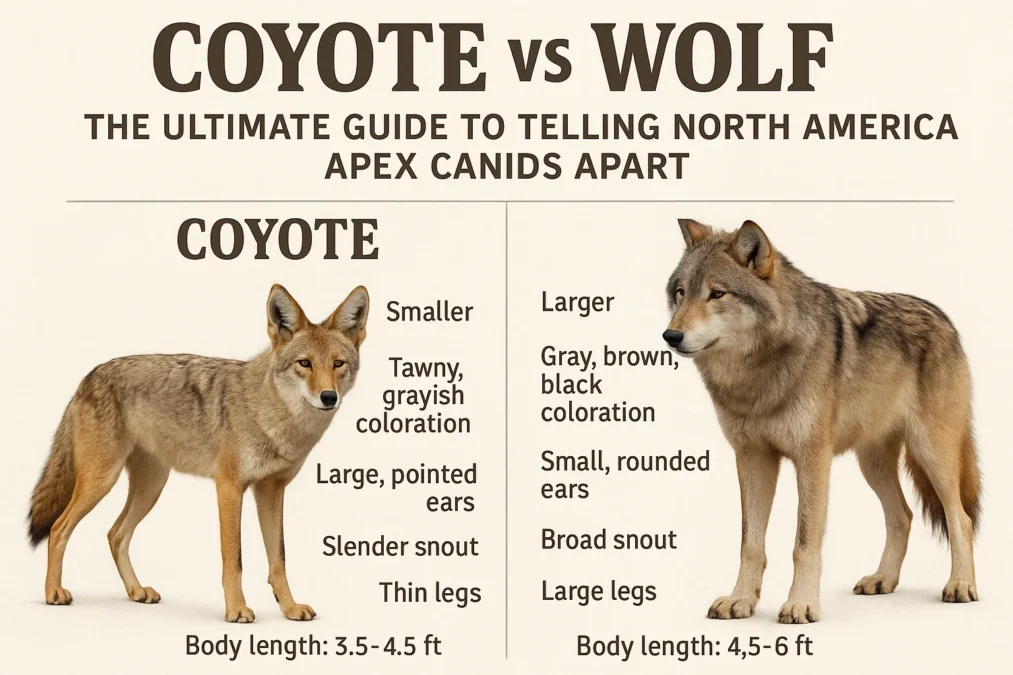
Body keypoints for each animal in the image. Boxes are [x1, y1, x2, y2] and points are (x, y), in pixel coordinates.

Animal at [27, 284, 369, 623]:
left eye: (338, 364)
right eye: (305, 363)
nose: (328, 397)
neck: (271, 415)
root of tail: (89, 376)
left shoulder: (271, 491)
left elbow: (279, 560)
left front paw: (289, 608)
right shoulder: (229, 488)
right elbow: (234, 559)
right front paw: (236, 609)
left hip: (151, 488)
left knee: (115, 534)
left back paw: (136, 591)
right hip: (101, 482)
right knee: (58, 528)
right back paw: (53, 593)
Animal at [664, 219, 980, 623]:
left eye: (717, 294)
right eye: (681, 293)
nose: (671, 335)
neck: (757, 377)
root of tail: (944, 317)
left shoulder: (812, 459)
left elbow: (803, 543)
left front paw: (801, 604)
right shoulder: (752, 459)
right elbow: (750, 543)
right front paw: (741, 600)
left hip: (933, 455)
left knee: (960, 518)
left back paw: (960, 585)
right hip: (872, 465)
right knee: (903, 516)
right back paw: (882, 579)